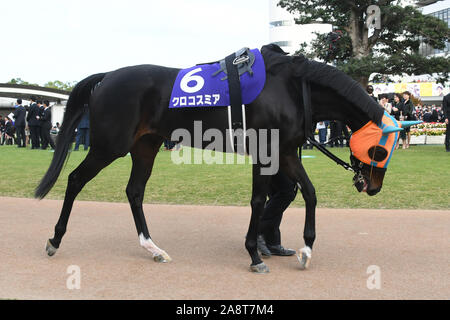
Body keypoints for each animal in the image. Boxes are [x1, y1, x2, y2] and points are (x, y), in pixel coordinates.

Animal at [37, 44, 400, 272]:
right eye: (380, 149)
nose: (373, 187)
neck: (293, 88)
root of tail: (108, 75)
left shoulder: (284, 152)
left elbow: (309, 193)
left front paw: (306, 249)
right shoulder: (265, 152)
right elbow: (258, 201)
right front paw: (254, 254)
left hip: (145, 146)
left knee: (134, 191)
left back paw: (153, 248)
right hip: (109, 146)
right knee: (75, 179)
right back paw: (54, 239)